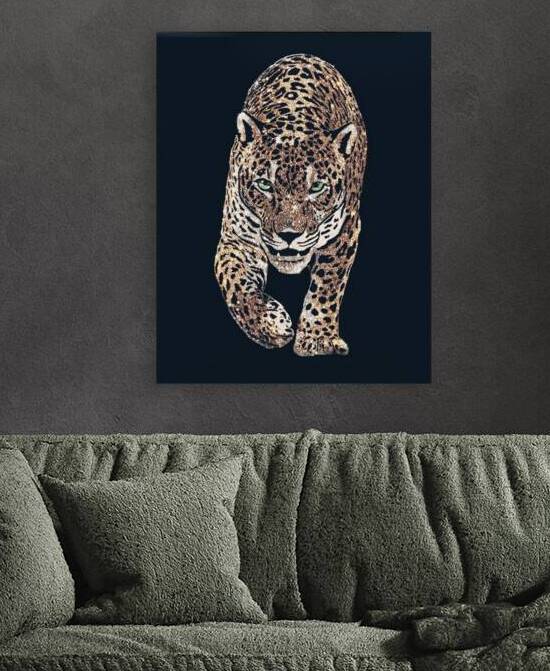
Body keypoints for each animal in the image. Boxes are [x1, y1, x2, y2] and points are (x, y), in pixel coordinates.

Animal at [214, 54, 367, 356]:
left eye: (316, 188)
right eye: (265, 184)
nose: (288, 235)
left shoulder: (345, 232)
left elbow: (327, 286)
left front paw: (317, 340)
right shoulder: (237, 238)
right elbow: (233, 281)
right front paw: (271, 325)